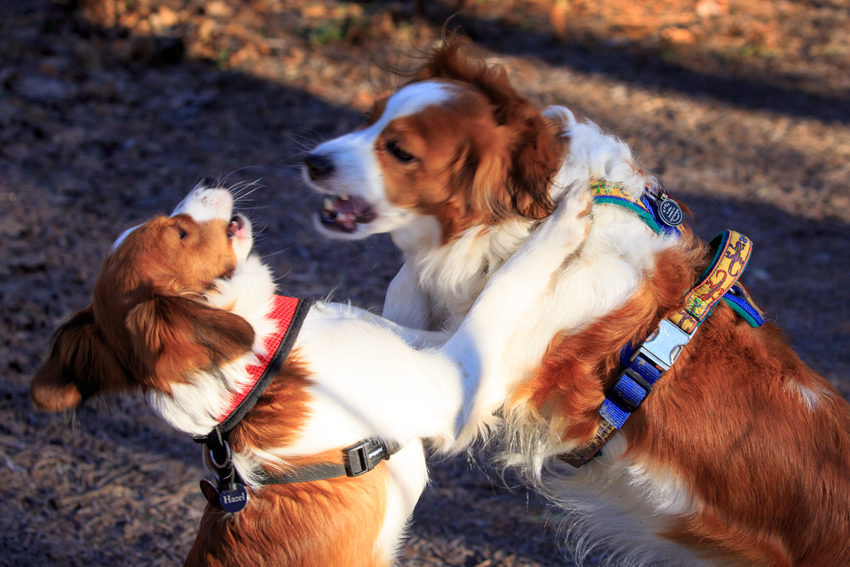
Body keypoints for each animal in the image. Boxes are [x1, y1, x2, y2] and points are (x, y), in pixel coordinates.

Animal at [304, 41, 848, 567]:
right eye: (368, 118)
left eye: (400, 151)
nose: (313, 160)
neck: (529, 217)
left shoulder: (488, 372)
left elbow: (383, 322)